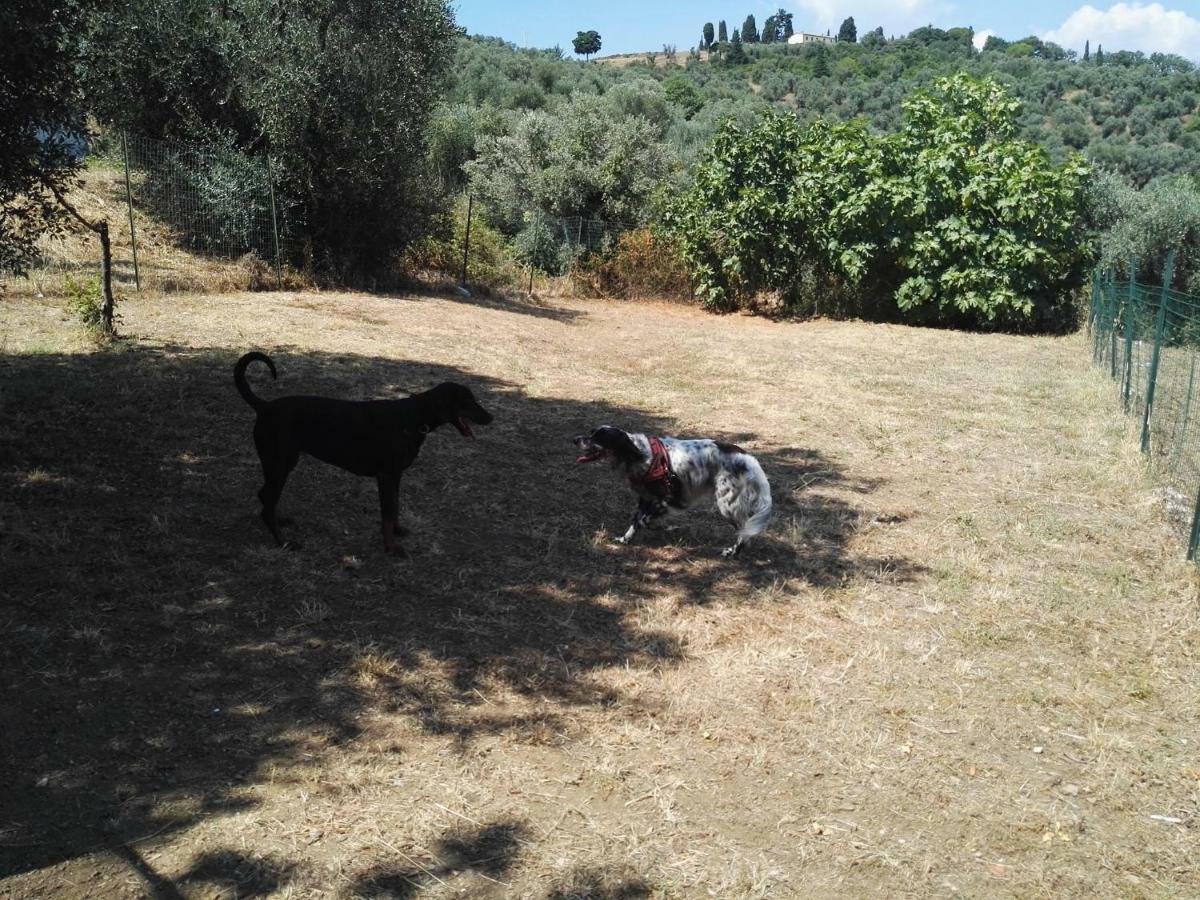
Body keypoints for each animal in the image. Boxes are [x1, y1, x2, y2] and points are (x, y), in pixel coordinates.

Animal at [234, 355, 492, 556]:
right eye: (468, 401)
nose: (491, 418)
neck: (413, 417)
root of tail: (265, 406)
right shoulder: (386, 476)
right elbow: (387, 512)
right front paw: (391, 548)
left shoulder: (395, 476)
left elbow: (394, 507)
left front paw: (397, 532)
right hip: (281, 463)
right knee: (267, 503)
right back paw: (284, 541)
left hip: (279, 464)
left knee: (265, 496)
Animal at [573, 427, 777, 561]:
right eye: (591, 433)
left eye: (598, 437)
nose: (575, 439)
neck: (643, 456)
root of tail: (748, 458)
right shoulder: (646, 497)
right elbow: (636, 520)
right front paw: (625, 539)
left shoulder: (673, 499)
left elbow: (644, 520)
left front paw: (666, 528)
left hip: (727, 504)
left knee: (745, 533)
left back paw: (732, 552)